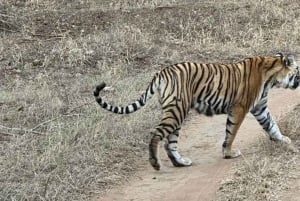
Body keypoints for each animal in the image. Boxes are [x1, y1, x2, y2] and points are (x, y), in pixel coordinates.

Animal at [94, 52, 300, 170]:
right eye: (298, 72)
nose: (298, 83)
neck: (271, 76)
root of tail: (161, 72)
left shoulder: (260, 108)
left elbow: (272, 124)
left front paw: (283, 139)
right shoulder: (239, 108)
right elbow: (231, 132)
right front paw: (229, 153)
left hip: (177, 112)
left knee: (170, 143)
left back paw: (180, 163)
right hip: (176, 110)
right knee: (156, 134)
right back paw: (155, 163)